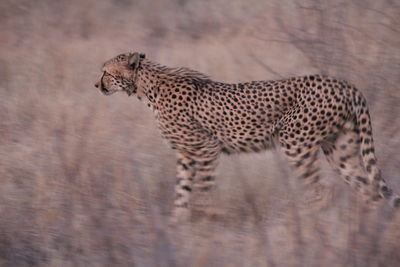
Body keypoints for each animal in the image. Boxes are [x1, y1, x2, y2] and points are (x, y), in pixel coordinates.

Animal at [95, 52, 398, 222]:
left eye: (106, 72)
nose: (96, 85)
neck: (146, 88)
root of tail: (344, 83)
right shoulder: (186, 154)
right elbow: (181, 192)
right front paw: (177, 225)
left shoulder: (207, 148)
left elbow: (202, 190)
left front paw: (207, 219)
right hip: (338, 150)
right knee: (368, 189)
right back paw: (368, 229)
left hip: (295, 142)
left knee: (325, 192)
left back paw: (304, 219)